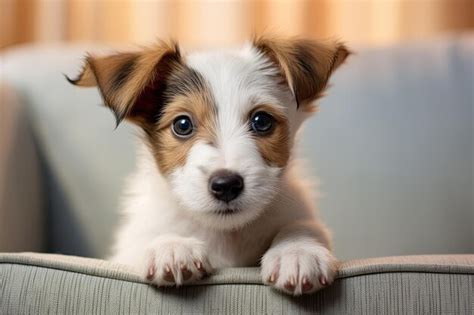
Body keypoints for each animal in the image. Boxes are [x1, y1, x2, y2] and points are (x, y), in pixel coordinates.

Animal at [67, 37, 348, 296]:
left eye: (262, 121)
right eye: (182, 125)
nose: (226, 185)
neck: (225, 234)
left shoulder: (295, 212)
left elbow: (303, 225)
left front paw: (298, 251)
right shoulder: (128, 247)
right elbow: (150, 235)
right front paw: (172, 247)